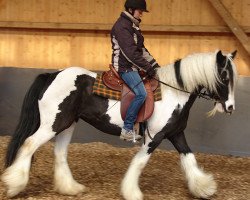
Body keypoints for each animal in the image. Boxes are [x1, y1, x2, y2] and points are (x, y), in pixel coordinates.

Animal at [0, 49, 237, 199]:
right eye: (224, 77)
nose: (230, 107)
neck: (174, 93)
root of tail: (53, 75)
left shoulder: (176, 134)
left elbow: (189, 158)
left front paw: (204, 188)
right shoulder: (154, 137)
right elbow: (139, 162)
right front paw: (132, 192)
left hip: (67, 124)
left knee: (59, 153)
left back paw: (70, 188)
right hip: (52, 125)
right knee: (29, 144)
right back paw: (14, 185)